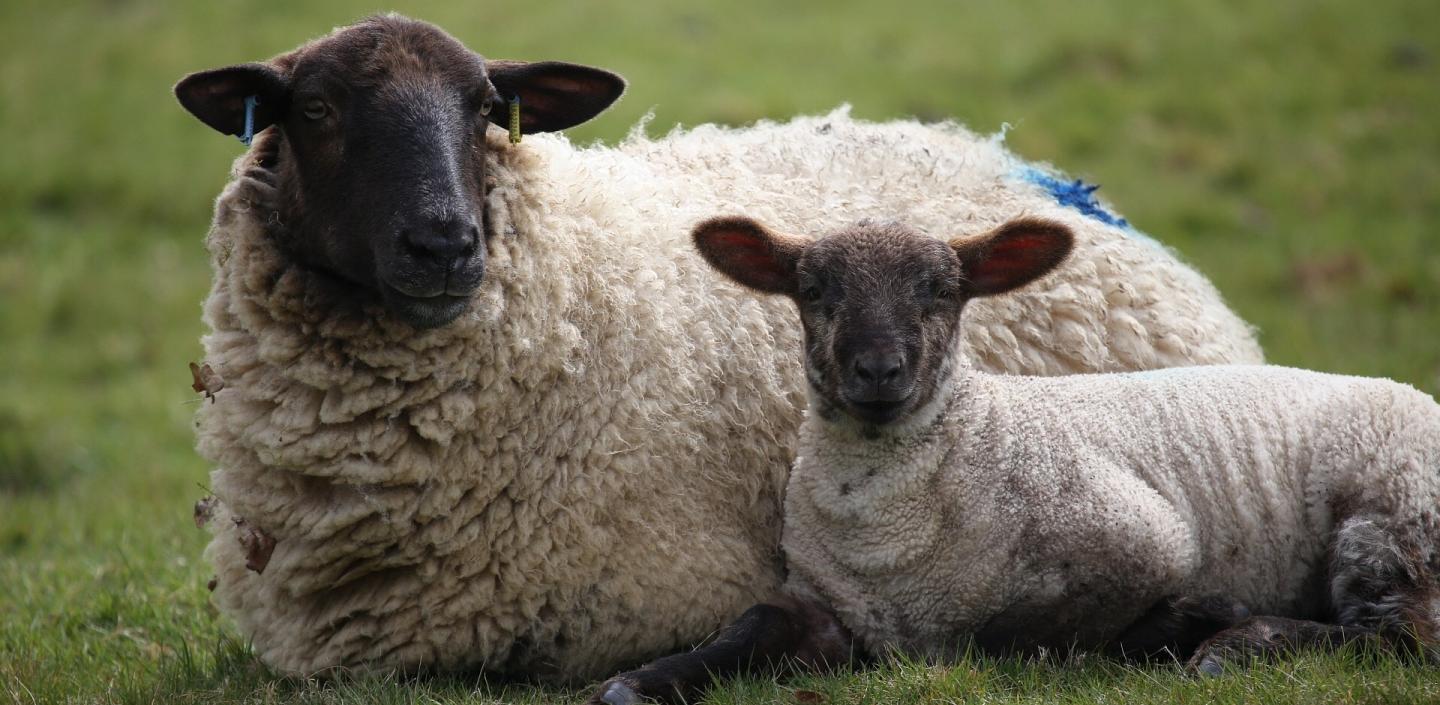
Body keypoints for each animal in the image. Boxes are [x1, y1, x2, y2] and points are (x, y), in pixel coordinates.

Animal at [589, 215, 1440, 704]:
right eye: (814, 288)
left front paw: (1193, 620)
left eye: (940, 289)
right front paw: (635, 683)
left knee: (1398, 633)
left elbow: (1016, 635)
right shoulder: (827, 603)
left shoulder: (1146, 542)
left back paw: (1233, 648)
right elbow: (753, 623)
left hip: (1392, 520)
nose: (878, 370)